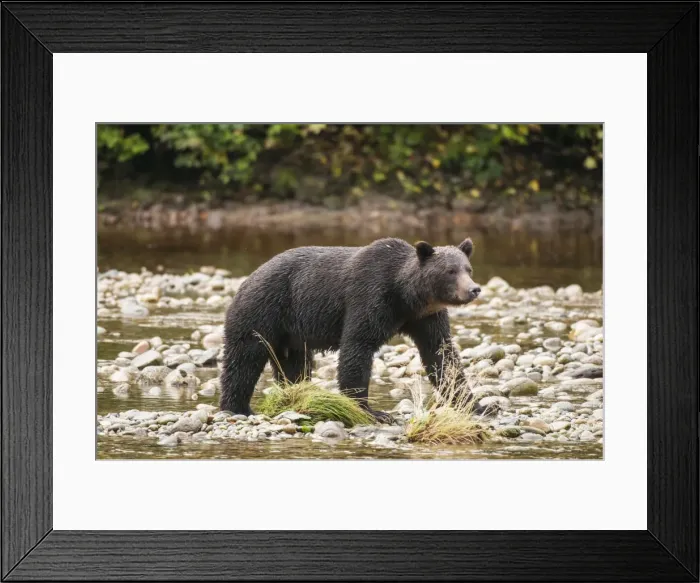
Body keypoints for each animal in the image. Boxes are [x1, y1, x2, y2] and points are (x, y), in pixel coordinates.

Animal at [219, 237, 482, 422]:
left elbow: (441, 355)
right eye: (450, 271)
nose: (474, 289)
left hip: (291, 335)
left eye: (467, 268)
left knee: (294, 366)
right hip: (262, 311)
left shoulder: (426, 318)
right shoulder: (370, 296)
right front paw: (371, 410)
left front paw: (476, 405)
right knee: (244, 360)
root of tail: (247, 279)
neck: (406, 297)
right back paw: (238, 408)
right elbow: (358, 346)